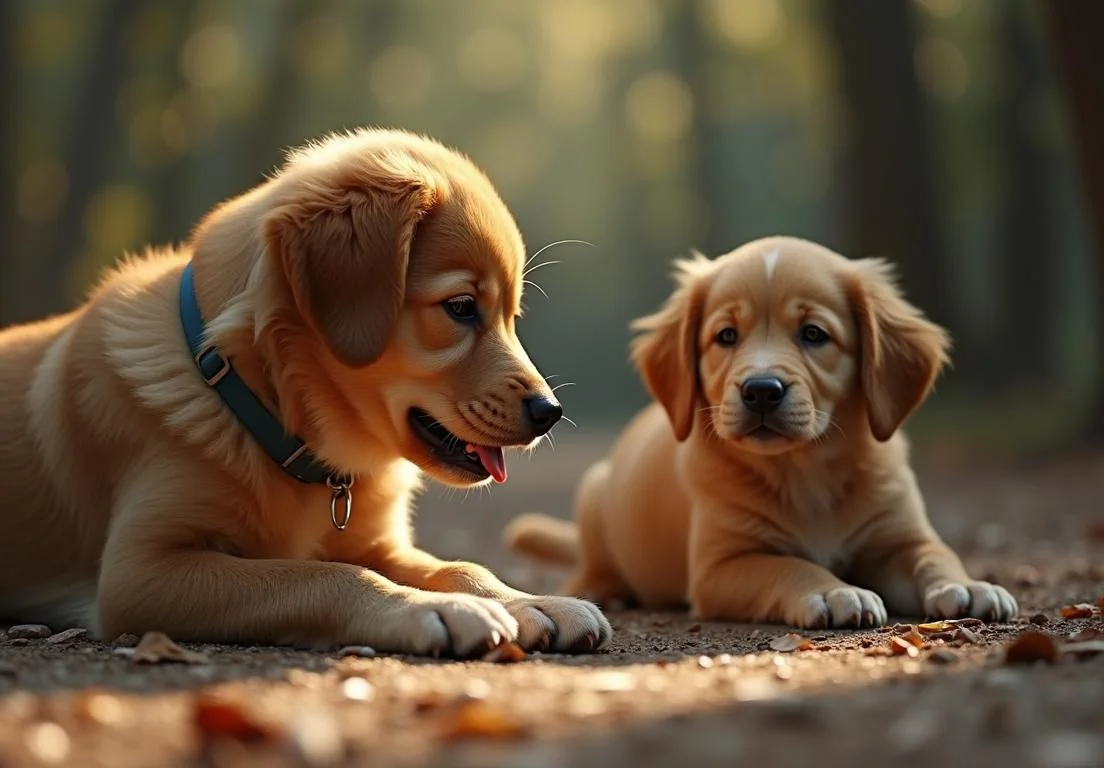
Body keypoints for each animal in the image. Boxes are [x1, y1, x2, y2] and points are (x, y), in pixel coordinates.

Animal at [0, 129, 609, 657]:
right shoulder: (141, 571)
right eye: (460, 307)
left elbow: (459, 565)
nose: (551, 413)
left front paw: (533, 602)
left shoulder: (380, 544)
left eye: (512, 316)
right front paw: (437, 610)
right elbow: (322, 574)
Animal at [507, 237, 1015, 626]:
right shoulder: (724, 565)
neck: (805, 472)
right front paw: (833, 591)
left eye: (814, 334)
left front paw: (968, 586)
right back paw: (601, 589)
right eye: (726, 336)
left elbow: (935, 555)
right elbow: (788, 567)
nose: (762, 390)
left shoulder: (898, 537)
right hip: (594, 492)